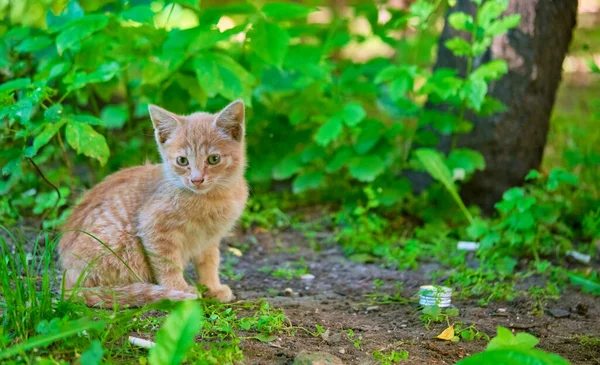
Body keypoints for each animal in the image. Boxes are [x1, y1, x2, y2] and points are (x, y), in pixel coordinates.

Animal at [58, 99, 248, 308]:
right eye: (182, 161)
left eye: (214, 159)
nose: (197, 180)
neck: (210, 198)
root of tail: (68, 282)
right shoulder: (154, 227)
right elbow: (167, 263)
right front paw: (178, 289)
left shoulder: (209, 237)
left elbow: (209, 261)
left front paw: (213, 287)